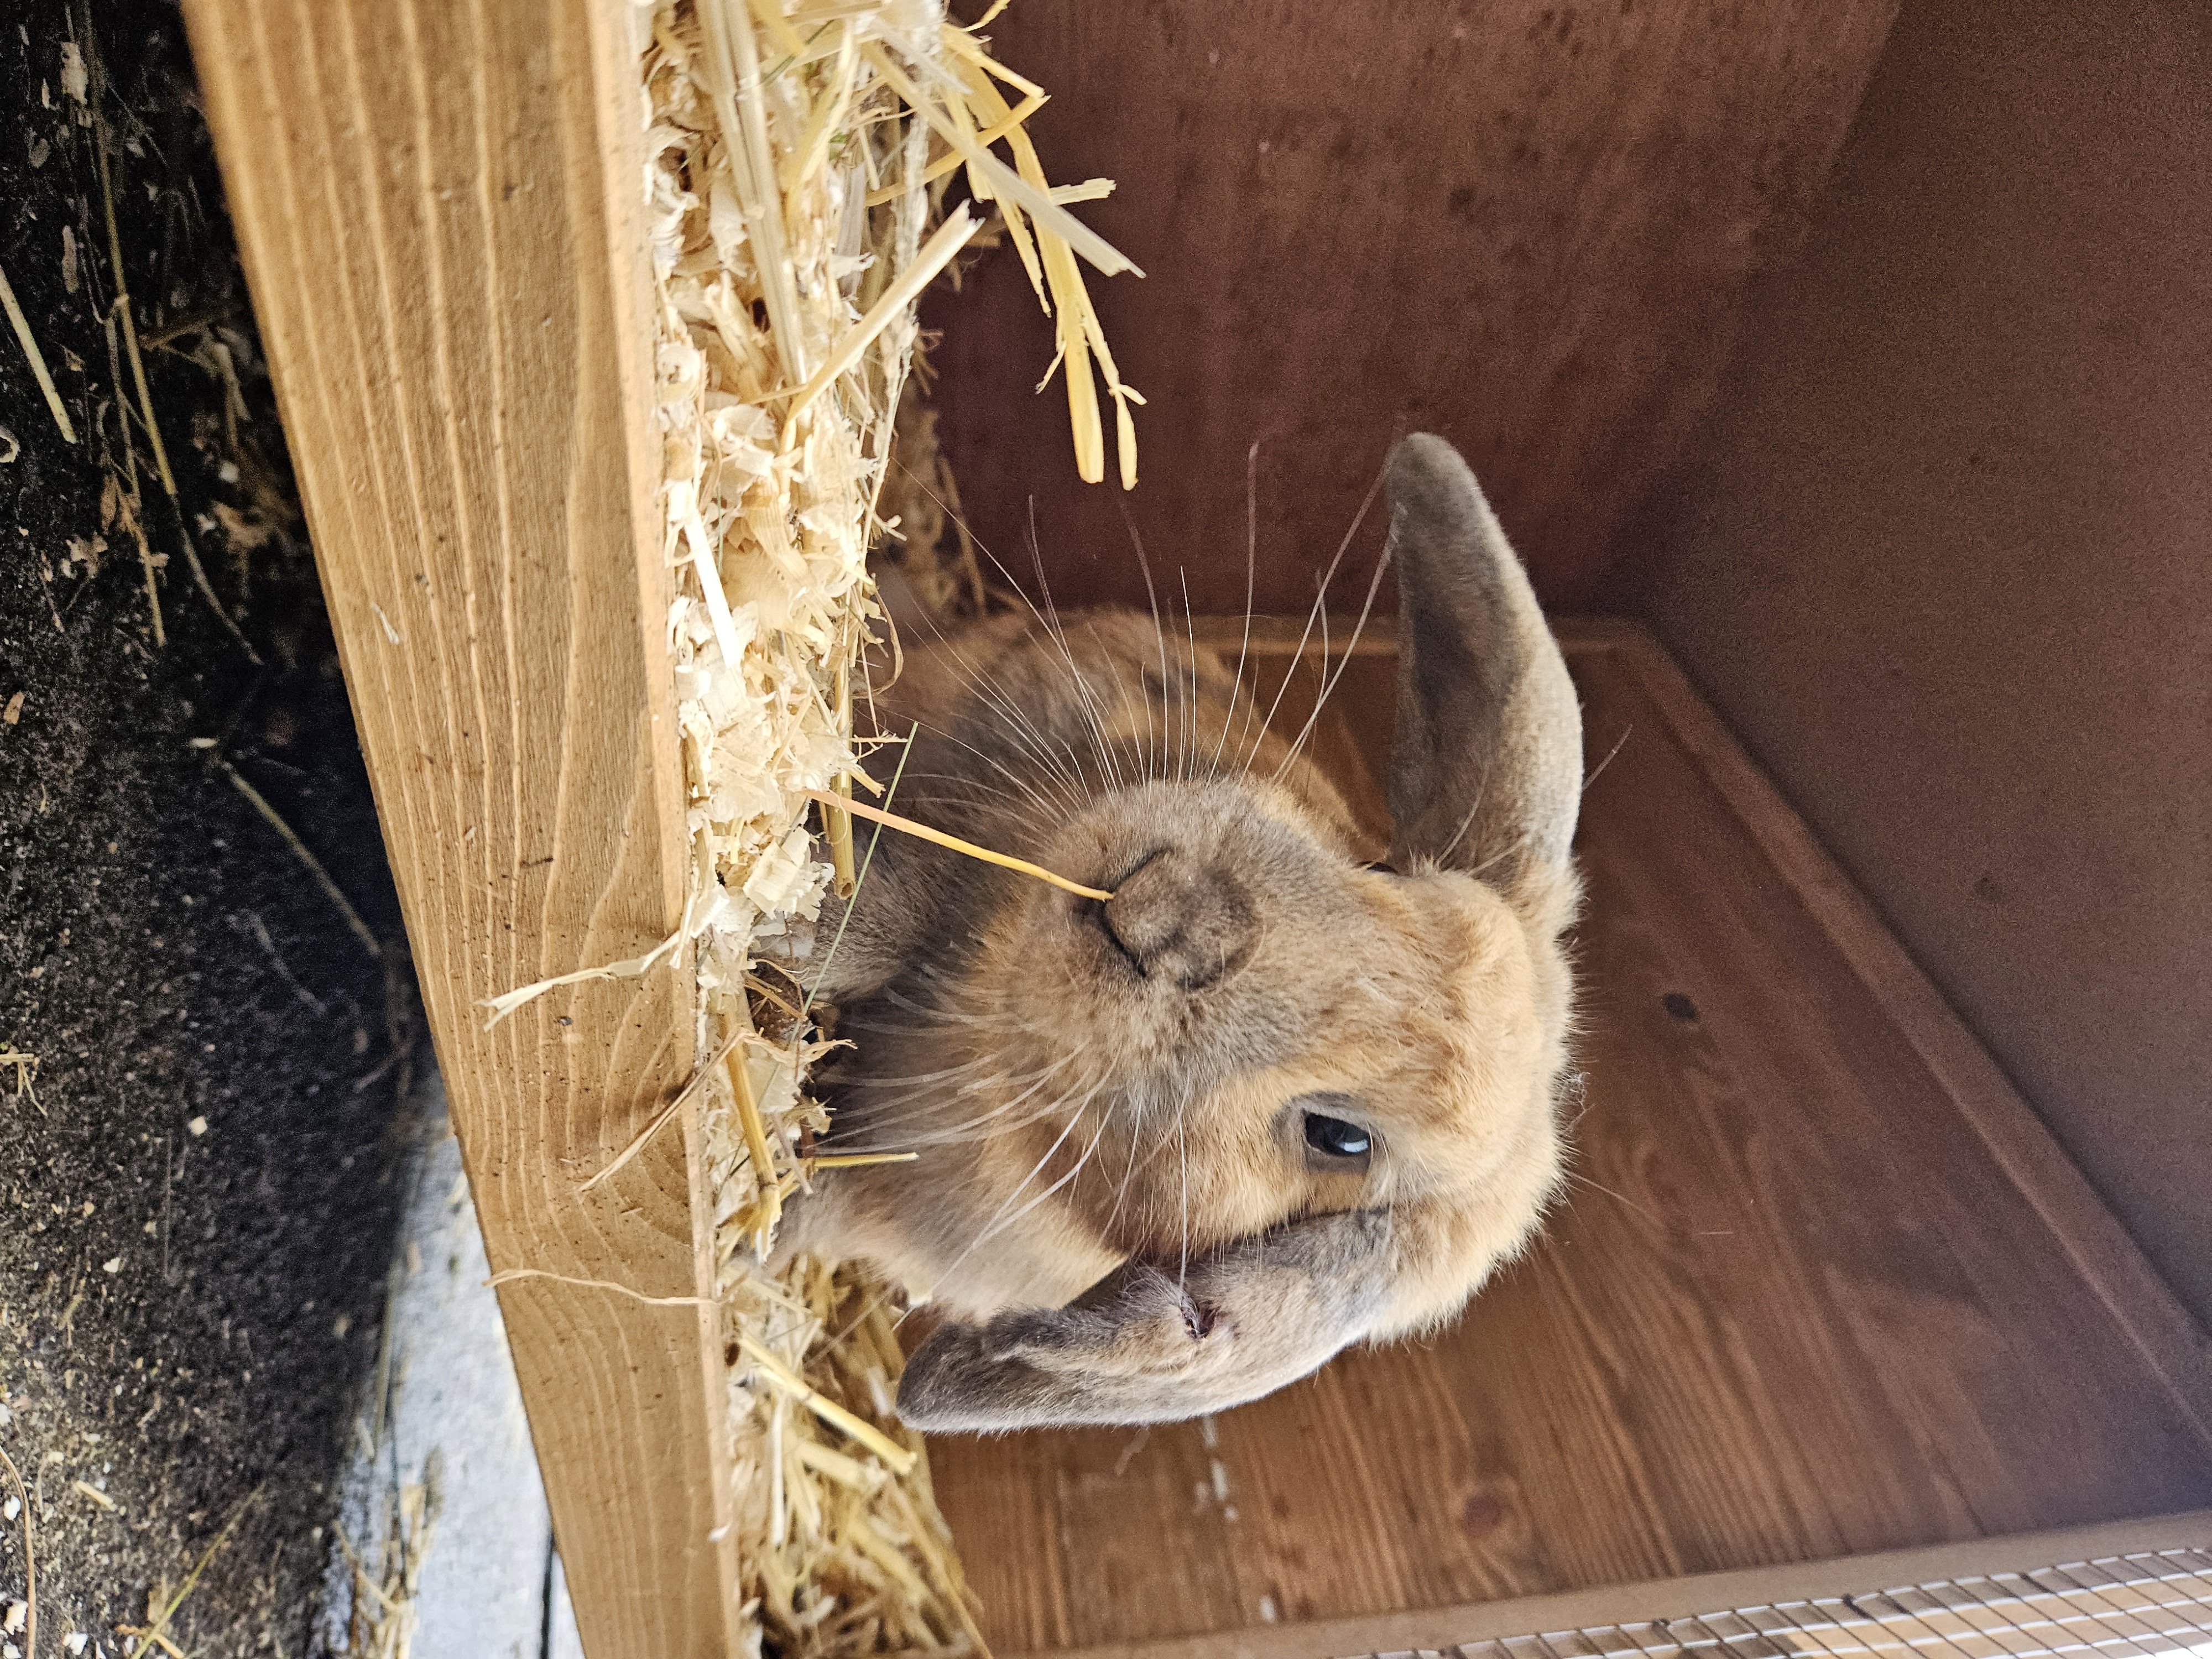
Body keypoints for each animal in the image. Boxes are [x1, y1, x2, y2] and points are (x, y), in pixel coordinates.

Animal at [774, 433, 1583, 1431]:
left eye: (1340, 1141)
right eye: (1381, 869)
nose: (1164, 916)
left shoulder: (871, 1191)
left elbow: (804, 1201)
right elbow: (903, 906)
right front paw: (789, 901)